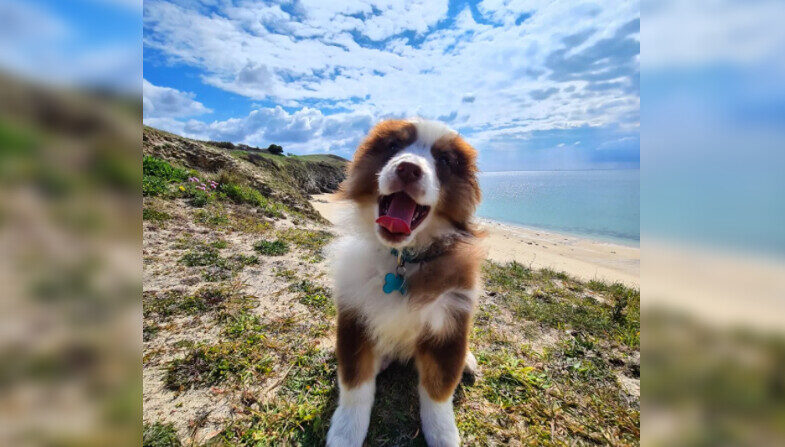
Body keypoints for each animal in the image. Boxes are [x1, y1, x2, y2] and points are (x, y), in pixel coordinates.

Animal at [324, 119, 484, 447]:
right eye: (393, 146)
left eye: (444, 160)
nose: (408, 169)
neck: (404, 259)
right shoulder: (353, 315)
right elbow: (354, 385)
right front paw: (346, 433)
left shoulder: (450, 323)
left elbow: (438, 392)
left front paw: (444, 436)